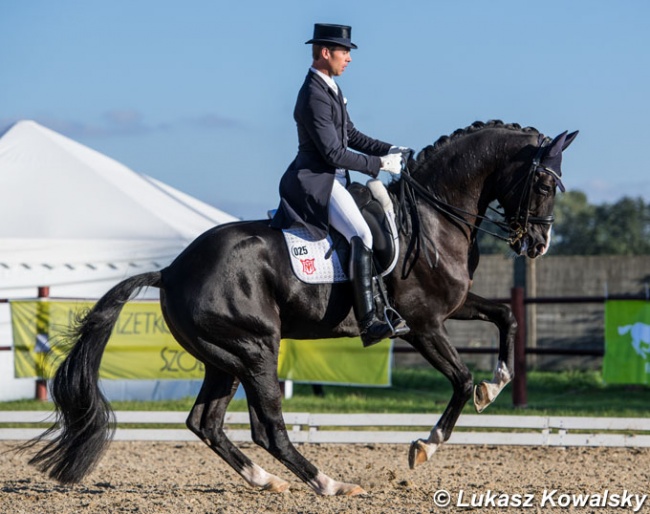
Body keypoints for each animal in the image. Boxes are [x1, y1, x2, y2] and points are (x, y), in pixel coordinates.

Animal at [29, 119, 576, 492]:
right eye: (544, 184)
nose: (538, 244)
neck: (433, 213)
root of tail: (173, 270)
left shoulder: (450, 307)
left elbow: (506, 316)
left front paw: (497, 383)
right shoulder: (423, 323)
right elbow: (460, 381)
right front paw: (425, 445)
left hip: (223, 357)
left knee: (206, 422)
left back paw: (266, 481)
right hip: (255, 349)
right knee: (267, 426)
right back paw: (328, 483)